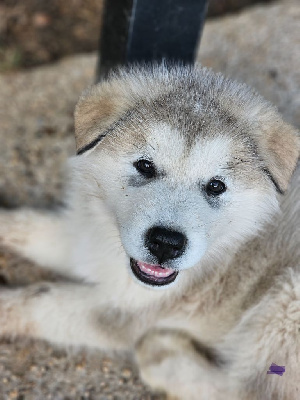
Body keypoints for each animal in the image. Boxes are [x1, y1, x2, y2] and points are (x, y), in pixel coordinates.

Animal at [0, 66, 300, 400]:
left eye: (216, 185)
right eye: (145, 166)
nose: (166, 244)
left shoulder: (127, 312)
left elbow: (37, 299)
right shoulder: (86, 239)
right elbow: (32, 227)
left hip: (289, 298)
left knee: (249, 392)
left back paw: (164, 356)